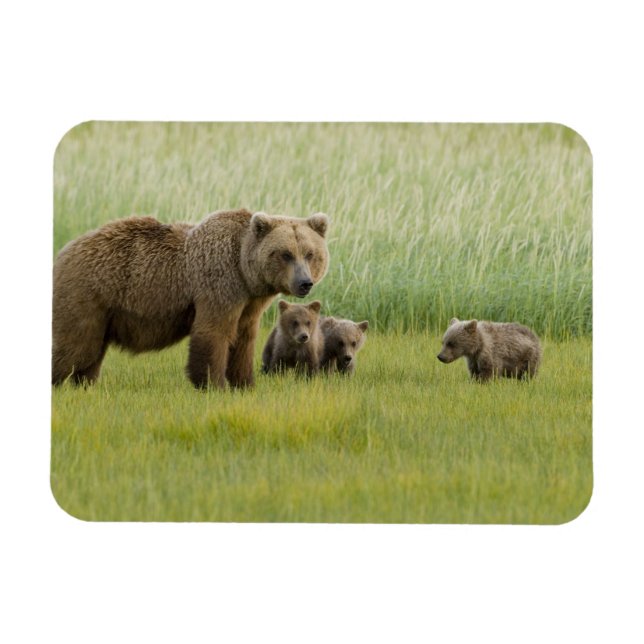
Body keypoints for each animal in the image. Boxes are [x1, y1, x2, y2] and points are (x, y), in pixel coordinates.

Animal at [52, 208, 330, 389]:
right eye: (285, 254)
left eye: (310, 253)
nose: (304, 283)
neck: (244, 272)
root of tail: (64, 250)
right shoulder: (219, 284)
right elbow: (214, 333)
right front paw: (212, 384)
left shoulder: (250, 302)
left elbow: (244, 339)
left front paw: (244, 383)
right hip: (88, 294)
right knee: (75, 345)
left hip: (104, 312)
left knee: (91, 352)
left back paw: (84, 383)